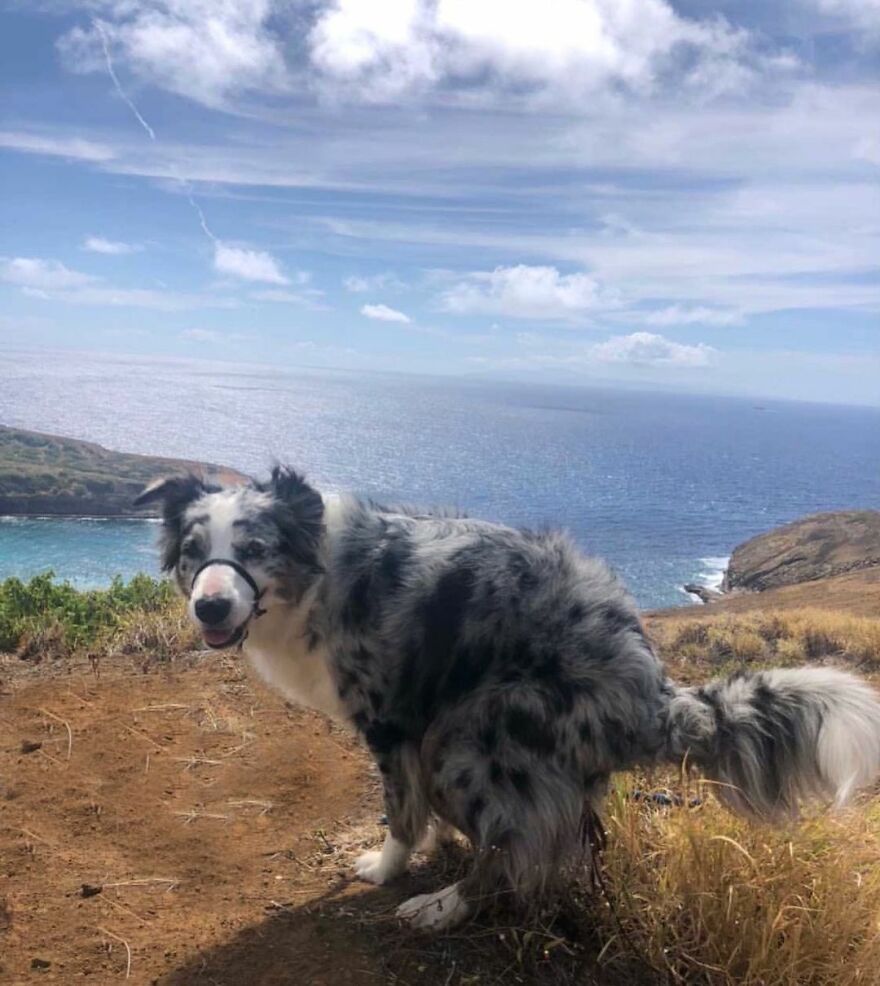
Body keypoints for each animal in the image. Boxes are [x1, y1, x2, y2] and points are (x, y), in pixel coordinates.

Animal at [134, 468, 880, 932]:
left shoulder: (392, 720)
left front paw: (387, 866)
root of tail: (655, 691)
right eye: (193, 551)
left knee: (514, 848)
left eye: (256, 548)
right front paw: (425, 843)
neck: (318, 574)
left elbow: (400, 812)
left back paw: (443, 905)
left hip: (476, 736)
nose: (210, 607)